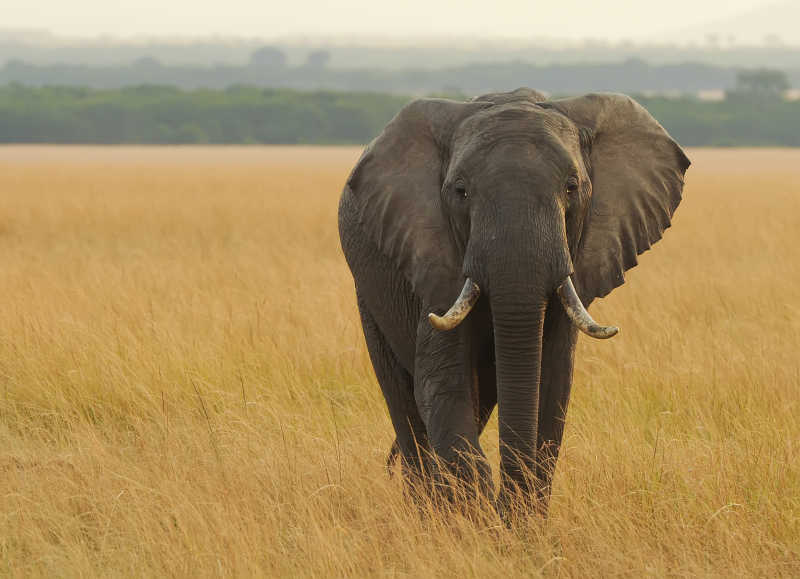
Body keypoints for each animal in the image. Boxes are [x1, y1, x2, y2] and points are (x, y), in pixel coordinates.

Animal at [336, 87, 688, 516]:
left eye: (572, 187)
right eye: (461, 191)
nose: (505, 509)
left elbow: (551, 388)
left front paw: (516, 524)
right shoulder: (434, 257)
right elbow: (443, 385)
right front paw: (478, 517)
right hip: (368, 290)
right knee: (404, 402)